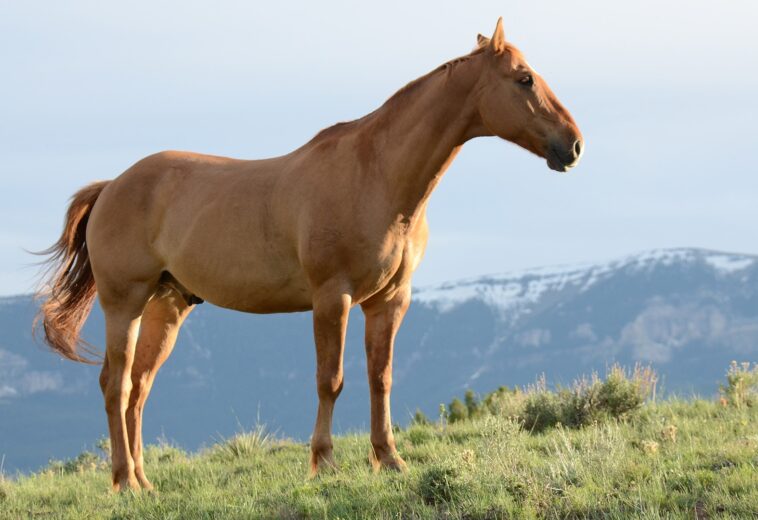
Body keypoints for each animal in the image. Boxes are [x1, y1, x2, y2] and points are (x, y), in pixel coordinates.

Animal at [35, 19, 584, 492]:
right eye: (524, 78)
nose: (574, 145)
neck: (376, 175)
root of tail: (112, 186)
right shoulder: (331, 298)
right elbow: (331, 380)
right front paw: (324, 462)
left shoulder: (390, 301)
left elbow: (380, 378)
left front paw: (389, 459)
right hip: (124, 303)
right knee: (115, 385)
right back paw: (124, 481)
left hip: (166, 307)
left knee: (138, 388)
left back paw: (144, 482)